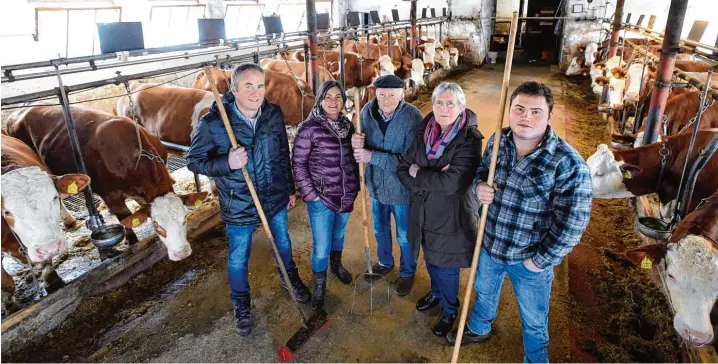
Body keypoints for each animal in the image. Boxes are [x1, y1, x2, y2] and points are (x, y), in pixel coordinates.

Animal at [1, 134, 91, 312]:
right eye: (6, 212)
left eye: (54, 197)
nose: (49, 247)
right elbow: (6, 282)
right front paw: (11, 306)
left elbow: (47, 265)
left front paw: (53, 282)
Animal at [4, 106, 208, 264]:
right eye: (157, 226)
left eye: (185, 218)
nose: (182, 252)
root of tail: (17, 112)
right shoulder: (112, 196)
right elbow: (126, 219)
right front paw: (132, 241)